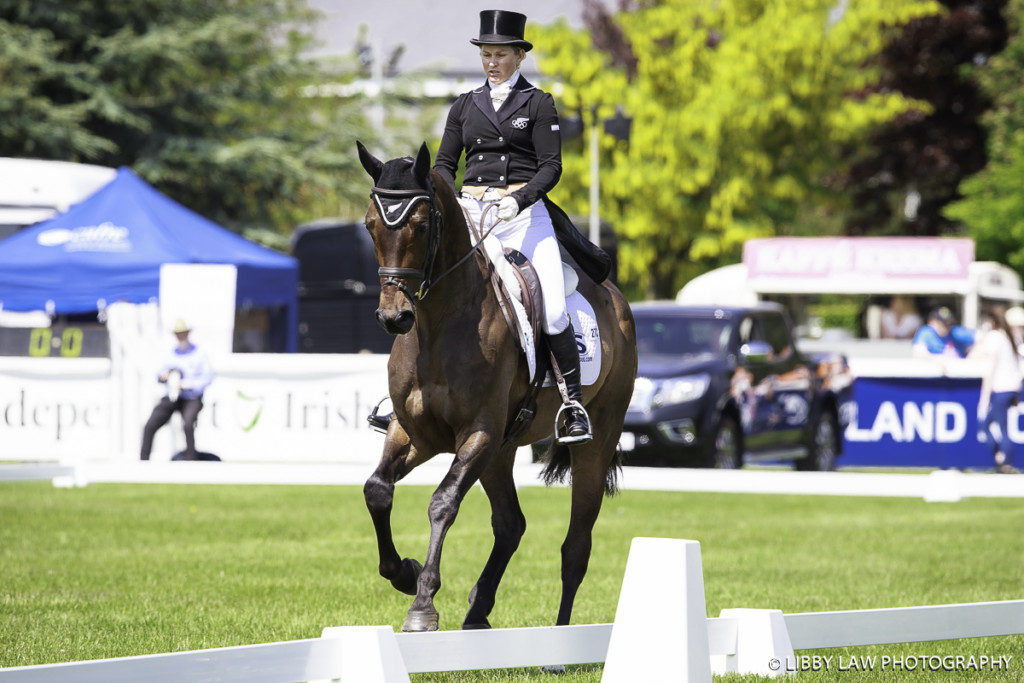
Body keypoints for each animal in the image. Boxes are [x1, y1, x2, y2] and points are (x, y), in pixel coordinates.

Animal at [356, 141, 634, 634]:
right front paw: (404, 573)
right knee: (510, 525)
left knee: (575, 547)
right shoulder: (415, 433)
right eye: (371, 225)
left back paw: (560, 637)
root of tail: (616, 300)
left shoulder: (478, 432)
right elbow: (377, 490)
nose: (394, 318)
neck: (440, 323)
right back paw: (477, 612)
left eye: (422, 225)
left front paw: (422, 604)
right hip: (501, 451)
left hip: (594, 442)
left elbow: (443, 502)